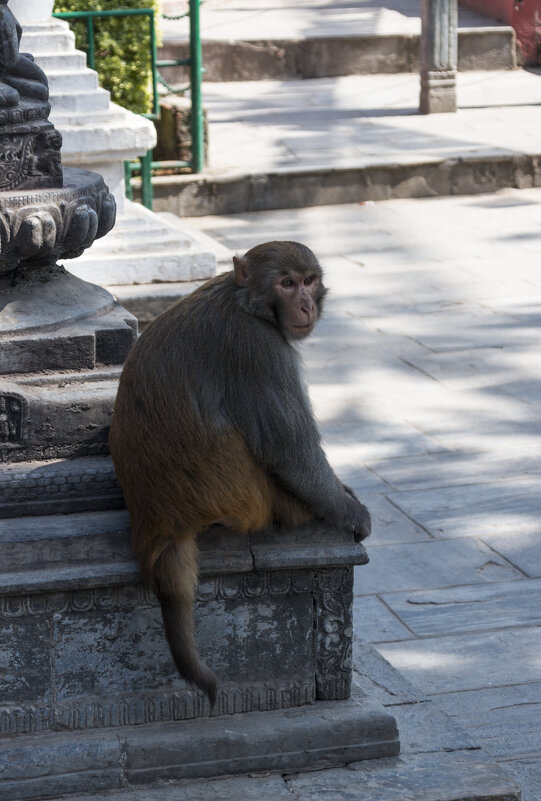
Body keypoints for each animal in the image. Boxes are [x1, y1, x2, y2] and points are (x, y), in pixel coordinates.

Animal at [109, 239, 372, 708]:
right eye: (287, 283)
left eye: (309, 280)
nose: (305, 304)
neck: (247, 302)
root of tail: (157, 523)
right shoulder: (259, 347)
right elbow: (290, 452)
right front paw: (350, 511)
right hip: (244, 497)